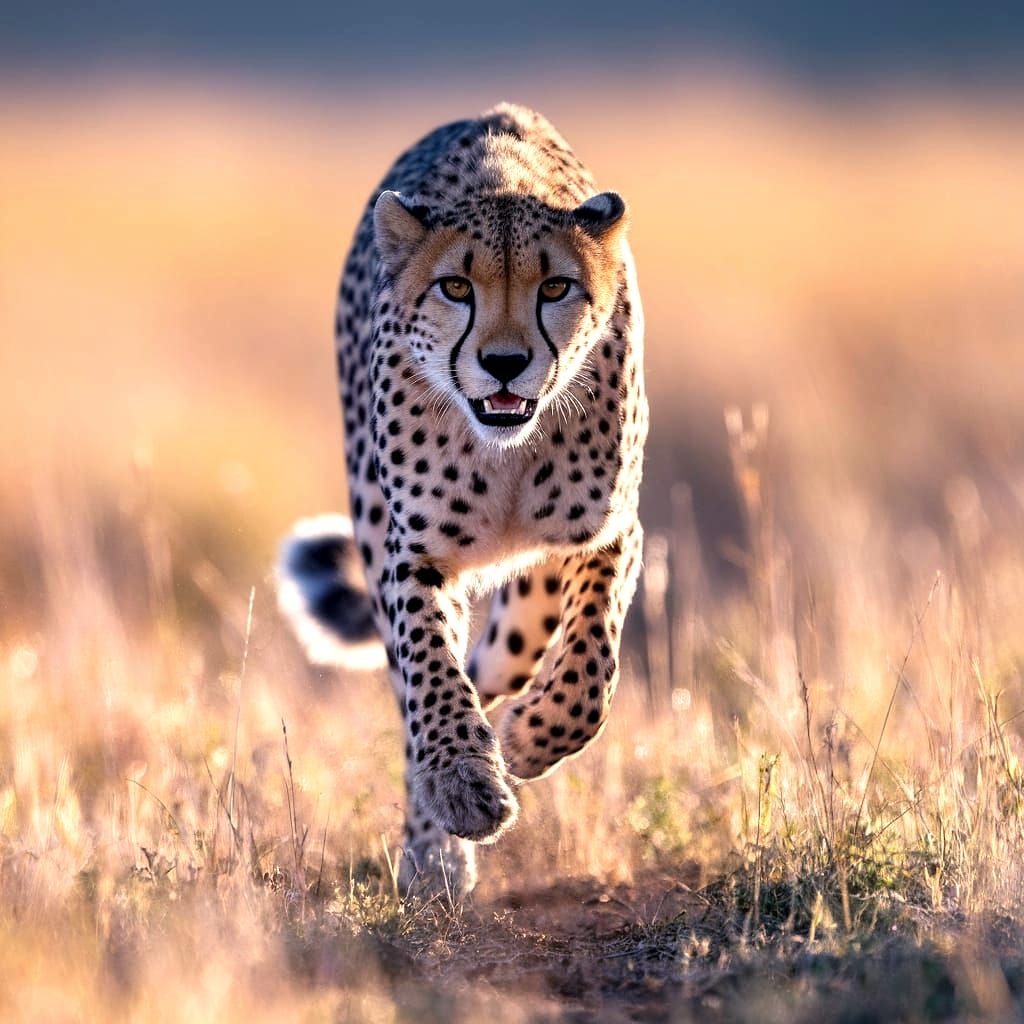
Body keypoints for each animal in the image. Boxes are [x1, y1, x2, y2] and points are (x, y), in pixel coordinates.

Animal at [277, 102, 648, 897]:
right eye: (455, 287)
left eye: (554, 288)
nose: (504, 362)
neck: (502, 452)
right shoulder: (413, 554)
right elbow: (430, 675)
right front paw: (462, 789)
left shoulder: (610, 534)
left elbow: (591, 666)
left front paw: (532, 740)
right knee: (424, 691)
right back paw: (434, 850)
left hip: (528, 601)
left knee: (503, 660)